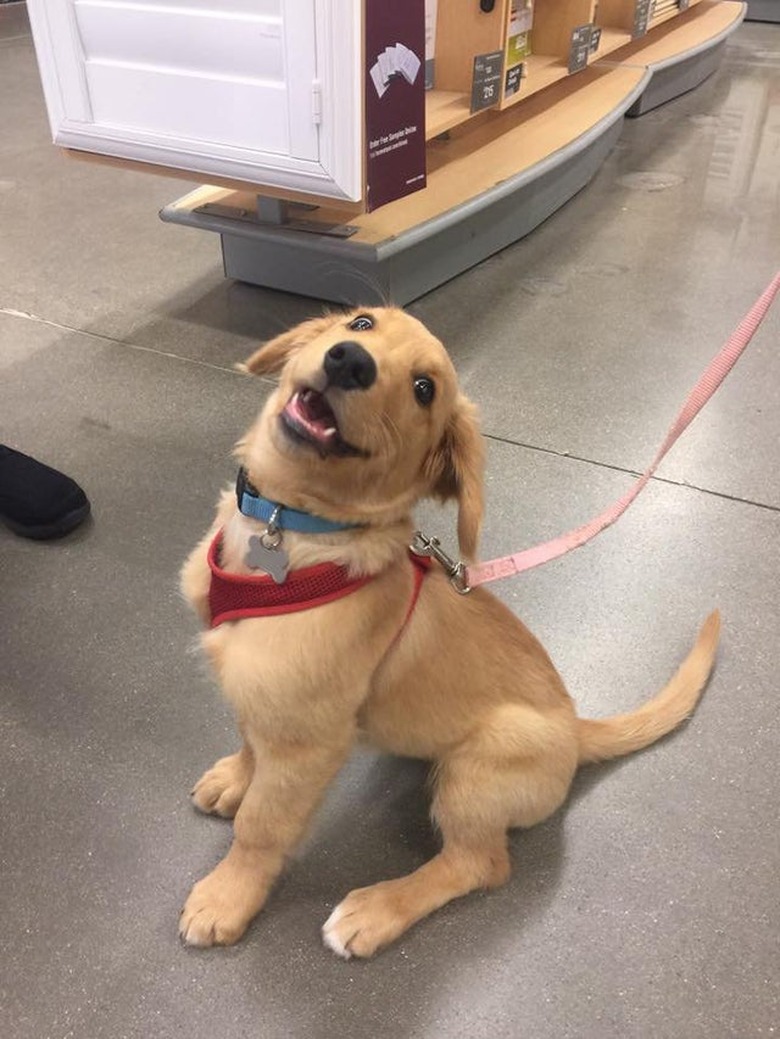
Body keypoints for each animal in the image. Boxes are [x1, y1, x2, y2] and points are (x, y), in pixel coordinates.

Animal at [176, 305, 718, 955]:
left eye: (423, 389)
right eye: (362, 323)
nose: (349, 362)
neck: (293, 534)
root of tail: (576, 730)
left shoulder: (308, 740)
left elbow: (261, 825)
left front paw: (226, 896)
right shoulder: (270, 701)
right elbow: (248, 738)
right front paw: (235, 778)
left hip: (476, 770)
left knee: (480, 864)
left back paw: (375, 909)